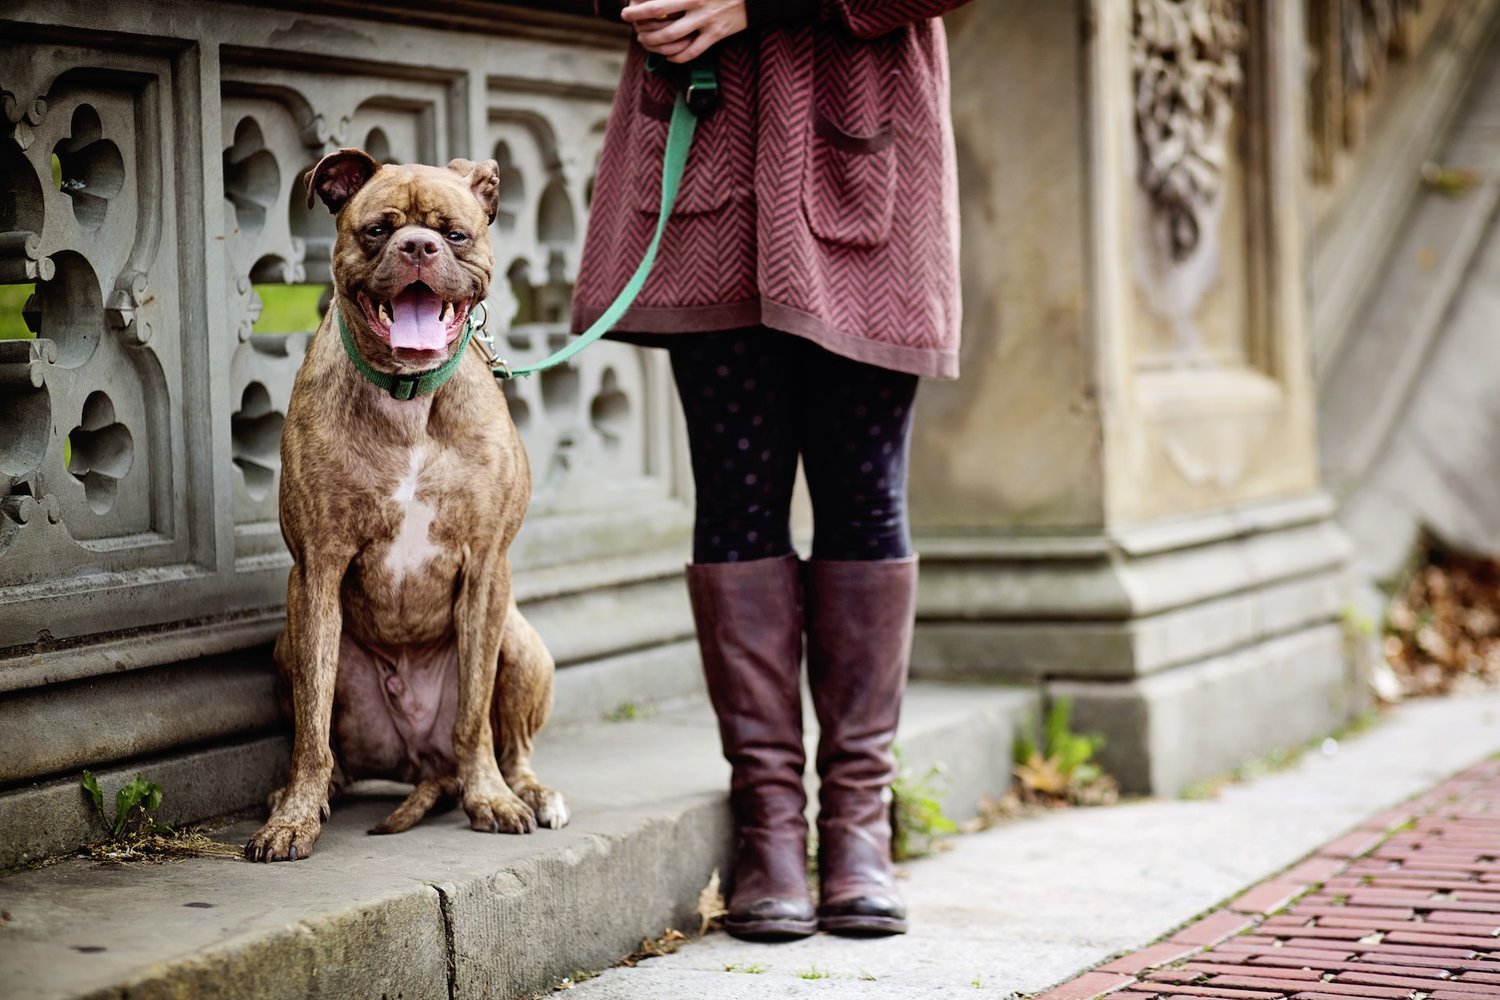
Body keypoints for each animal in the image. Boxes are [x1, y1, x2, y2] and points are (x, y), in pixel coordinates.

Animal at [246, 146, 567, 863]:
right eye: (377, 229)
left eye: (455, 233)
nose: (418, 246)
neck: (408, 395)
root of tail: (422, 763)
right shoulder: (318, 570)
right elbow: (311, 725)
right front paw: (295, 817)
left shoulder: (485, 570)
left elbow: (474, 715)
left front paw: (490, 798)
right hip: (289, 644)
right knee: (327, 742)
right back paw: (308, 793)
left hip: (520, 641)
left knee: (513, 743)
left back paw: (528, 791)